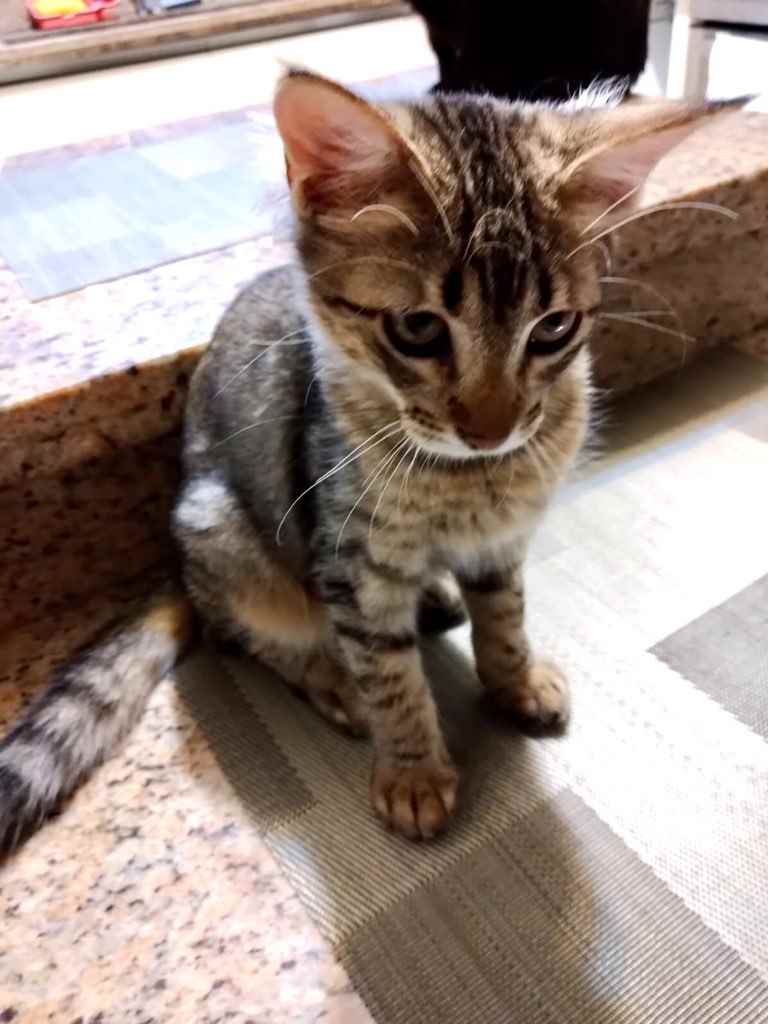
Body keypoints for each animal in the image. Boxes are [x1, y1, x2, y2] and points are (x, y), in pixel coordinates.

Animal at [0, 72, 730, 853]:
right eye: (418, 329)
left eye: (554, 329)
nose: (491, 431)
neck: (469, 483)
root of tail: (177, 566)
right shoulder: (352, 556)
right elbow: (391, 674)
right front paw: (412, 773)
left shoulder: (499, 543)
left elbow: (505, 619)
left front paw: (516, 683)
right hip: (222, 530)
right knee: (253, 635)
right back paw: (334, 682)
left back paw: (435, 598)